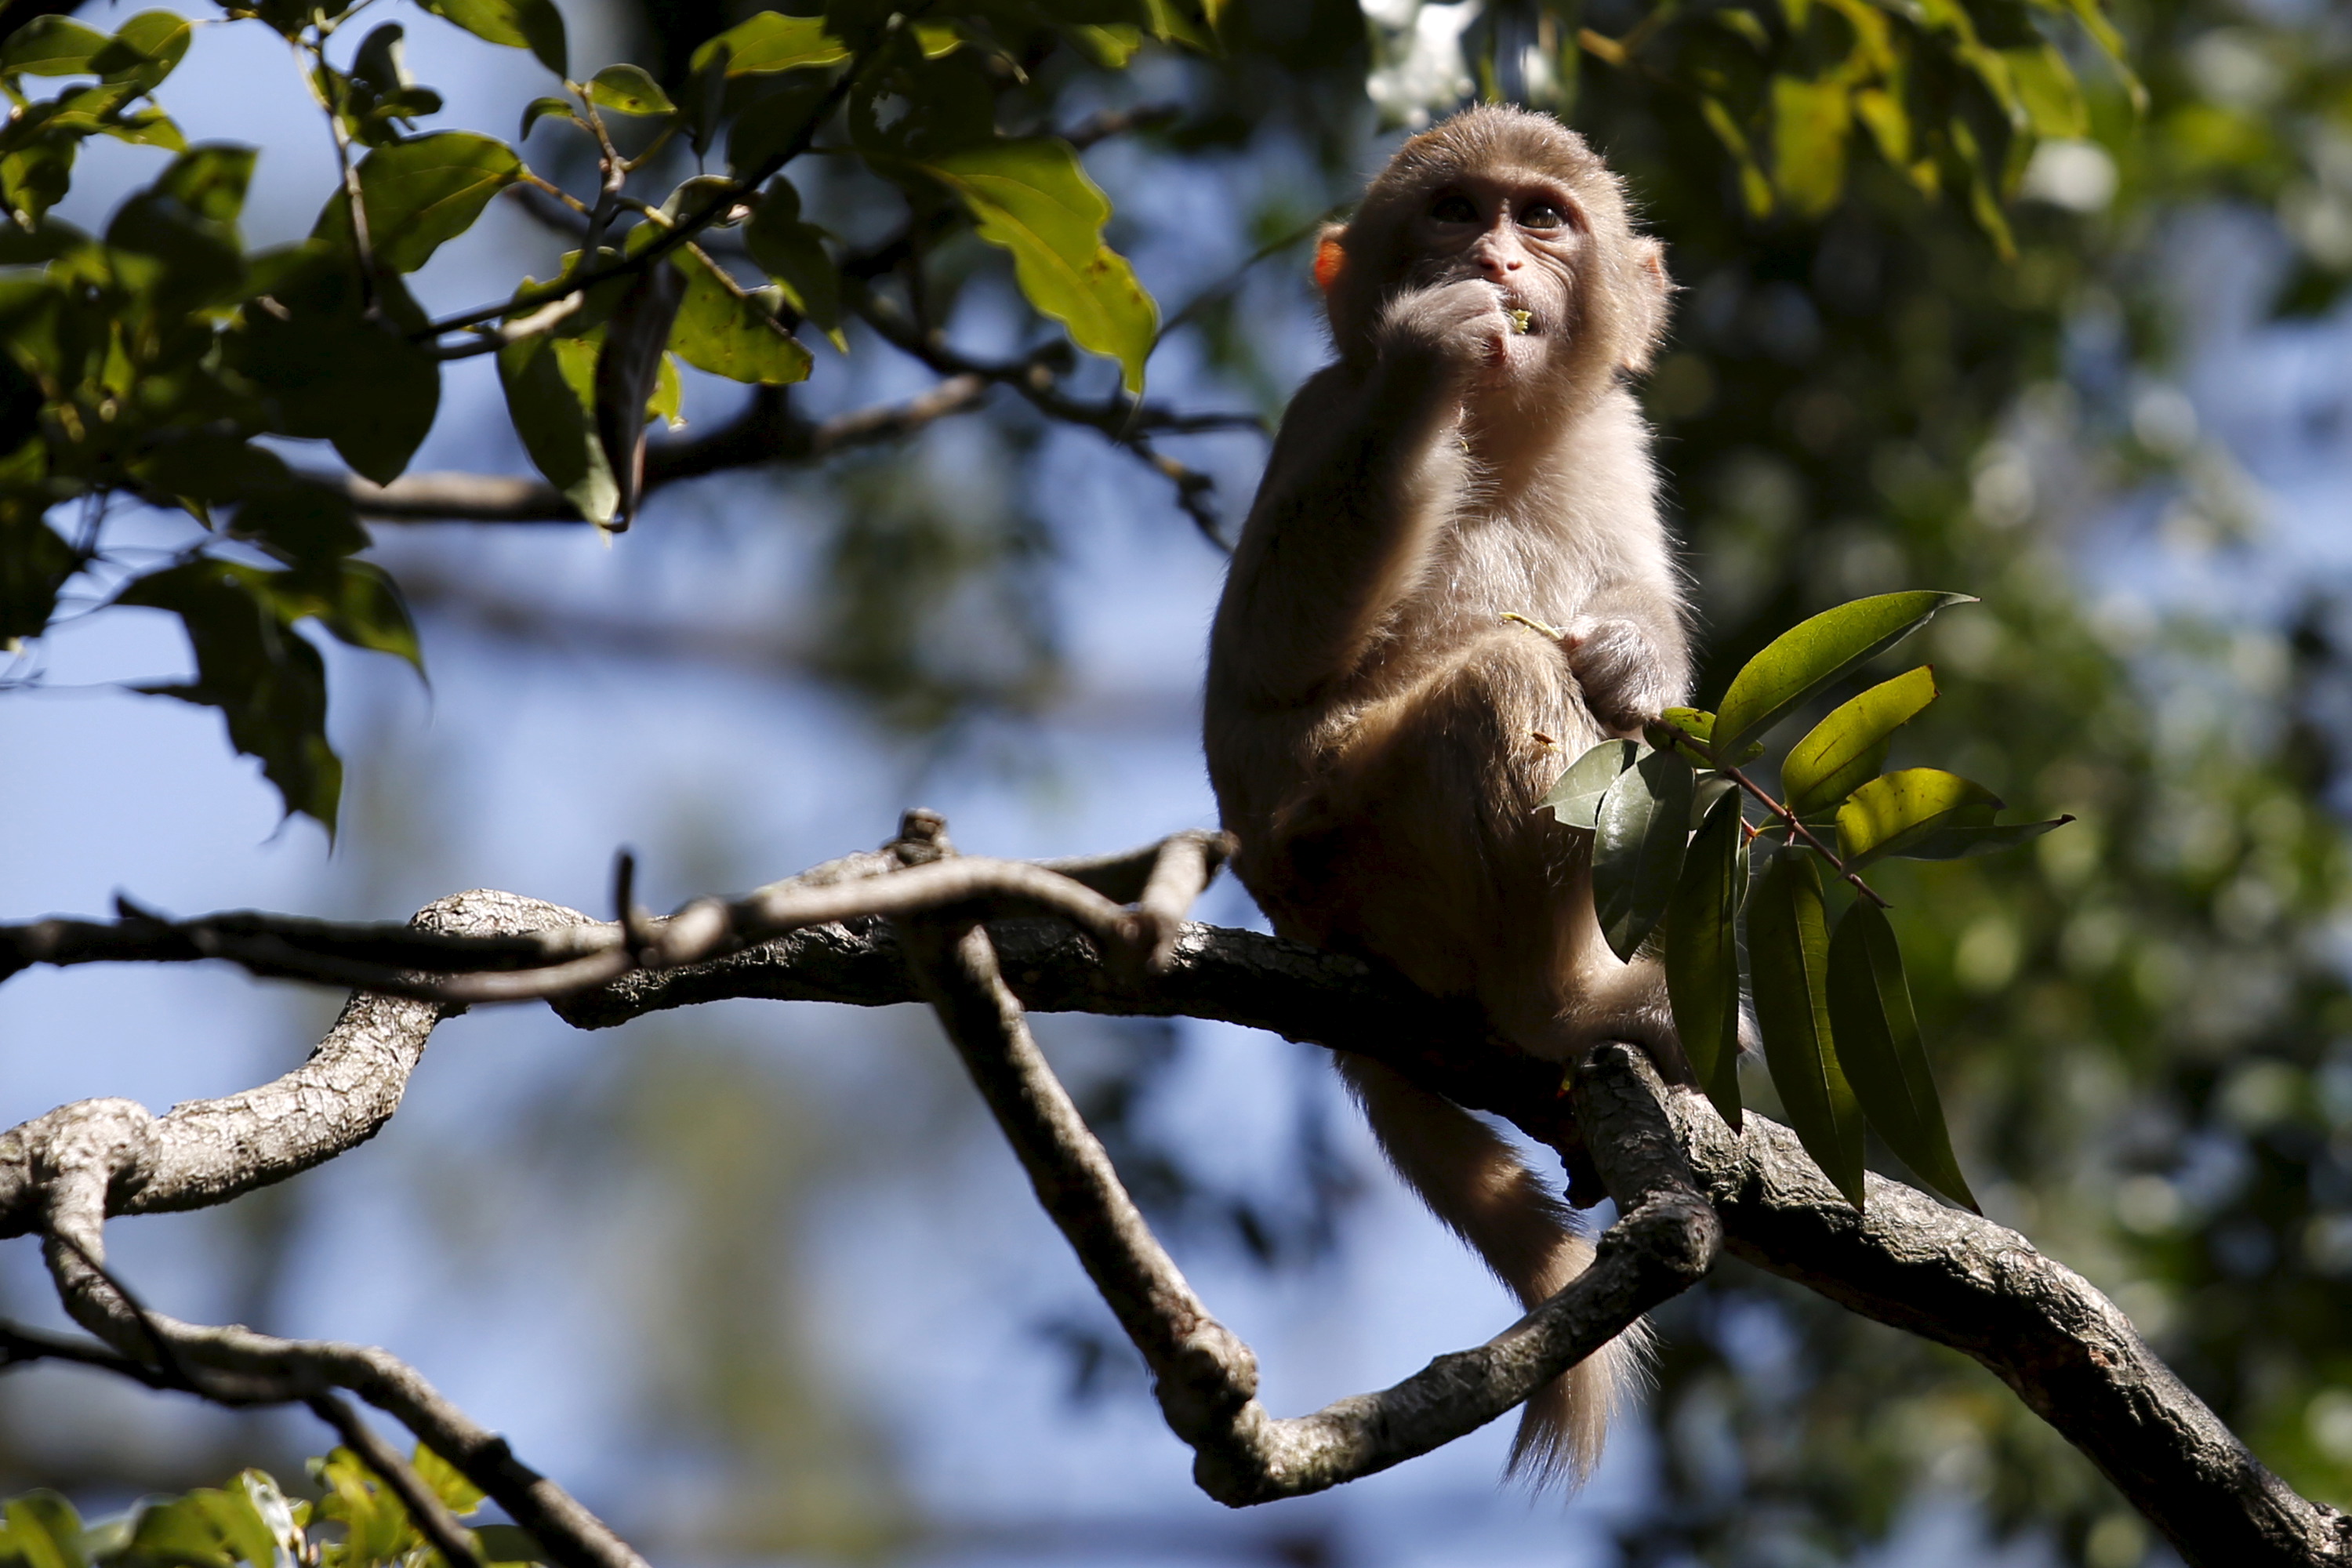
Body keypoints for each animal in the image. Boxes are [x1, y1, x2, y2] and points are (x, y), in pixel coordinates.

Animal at [1201, 105, 1689, 1487]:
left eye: (1543, 218)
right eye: (1456, 211)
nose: (1499, 264)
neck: (1510, 436)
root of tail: (1302, 923)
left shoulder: (1617, 441)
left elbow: (1652, 667)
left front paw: (1637, 658)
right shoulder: (1322, 412)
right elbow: (1264, 670)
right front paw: (1432, 351)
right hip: (1349, 852)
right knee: (1506, 687)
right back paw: (1557, 1011)